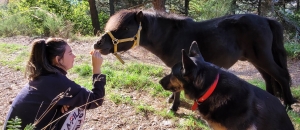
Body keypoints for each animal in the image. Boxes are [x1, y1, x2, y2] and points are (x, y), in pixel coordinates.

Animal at [94, 8, 296, 111]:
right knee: (269, 78)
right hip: (257, 60)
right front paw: (171, 100)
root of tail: (266, 19)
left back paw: (288, 104)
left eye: (125, 28)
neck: (171, 36)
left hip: (263, 58)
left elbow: (177, 89)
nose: (98, 44)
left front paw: (174, 107)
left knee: (281, 76)